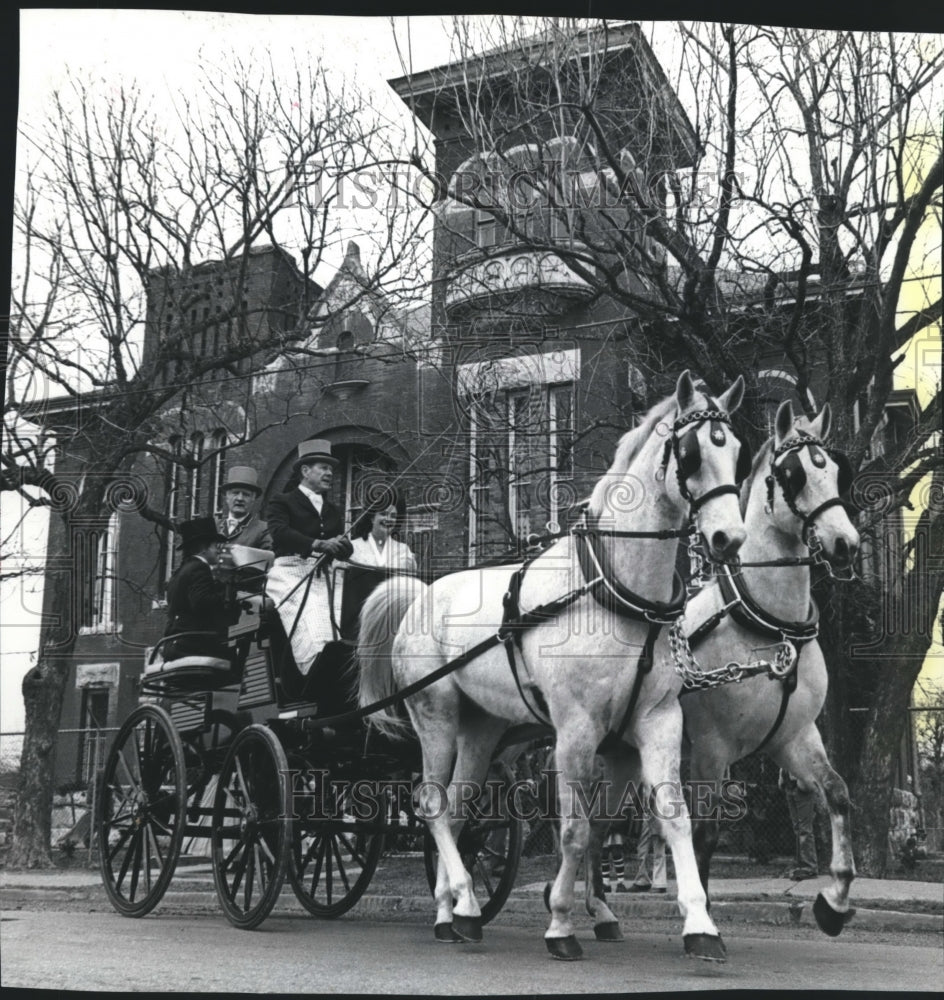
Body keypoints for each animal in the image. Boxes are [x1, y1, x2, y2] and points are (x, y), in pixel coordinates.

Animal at [358, 370, 748, 960]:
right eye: (691, 452)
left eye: (739, 453)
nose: (730, 539)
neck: (616, 591)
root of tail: (421, 596)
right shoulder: (575, 730)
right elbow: (576, 831)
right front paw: (561, 923)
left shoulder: (656, 720)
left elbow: (672, 816)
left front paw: (700, 924)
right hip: (436, 716)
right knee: (430, 804)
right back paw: (464, 900)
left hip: (480, 728)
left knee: (455, 808)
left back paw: (453, 912)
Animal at [592, 398, 864, 936]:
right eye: (791, 474)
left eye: (835, 470)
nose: (846, 542)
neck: (771, 626)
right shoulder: (713, 748)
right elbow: (706, 834)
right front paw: (701, 916)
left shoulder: (793, 737)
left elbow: (838, 794)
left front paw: (834, 900)